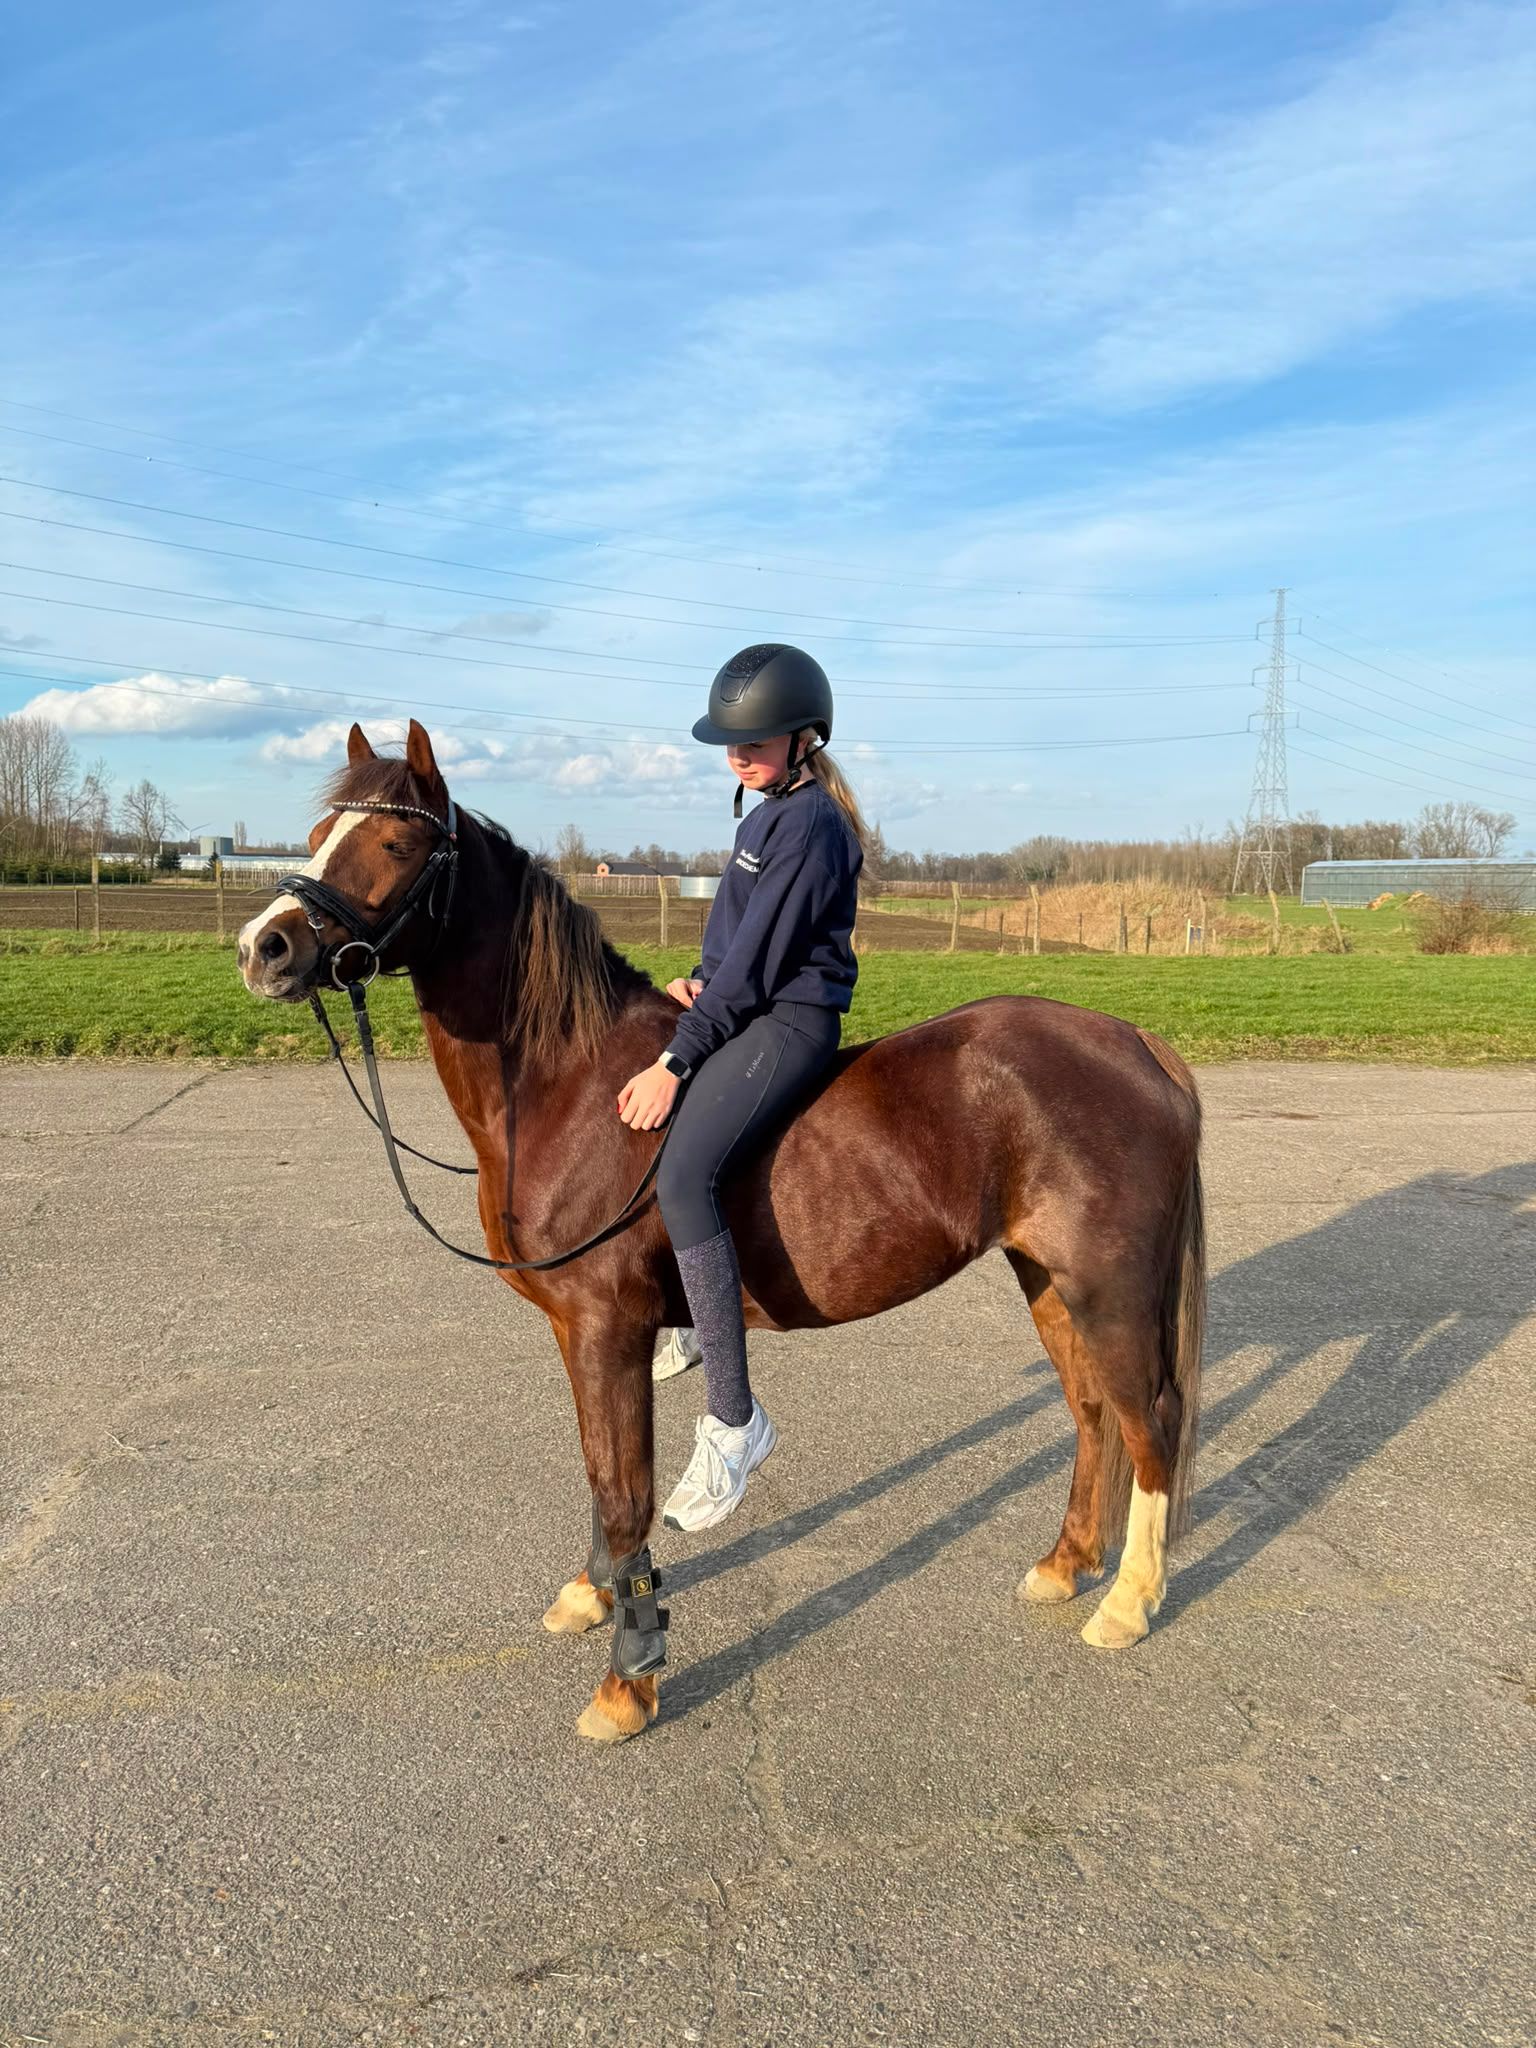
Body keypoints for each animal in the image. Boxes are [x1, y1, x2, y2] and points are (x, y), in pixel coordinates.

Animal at [238, 720, 1205, 1745]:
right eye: (318, 834)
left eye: (395, 843)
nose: (264, 948)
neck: (570, 1086)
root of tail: (1139, 1044)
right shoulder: (581, 1332)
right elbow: (600, 1470)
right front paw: (595, 1597)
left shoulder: (608, 1326)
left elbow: (624, 1487)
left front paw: (630, 1677)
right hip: (1046, 1278)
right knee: (1092, 1411)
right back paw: (1066, 1565)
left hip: (1108, 1289)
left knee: (1151, 1420)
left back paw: (1129, 1601)